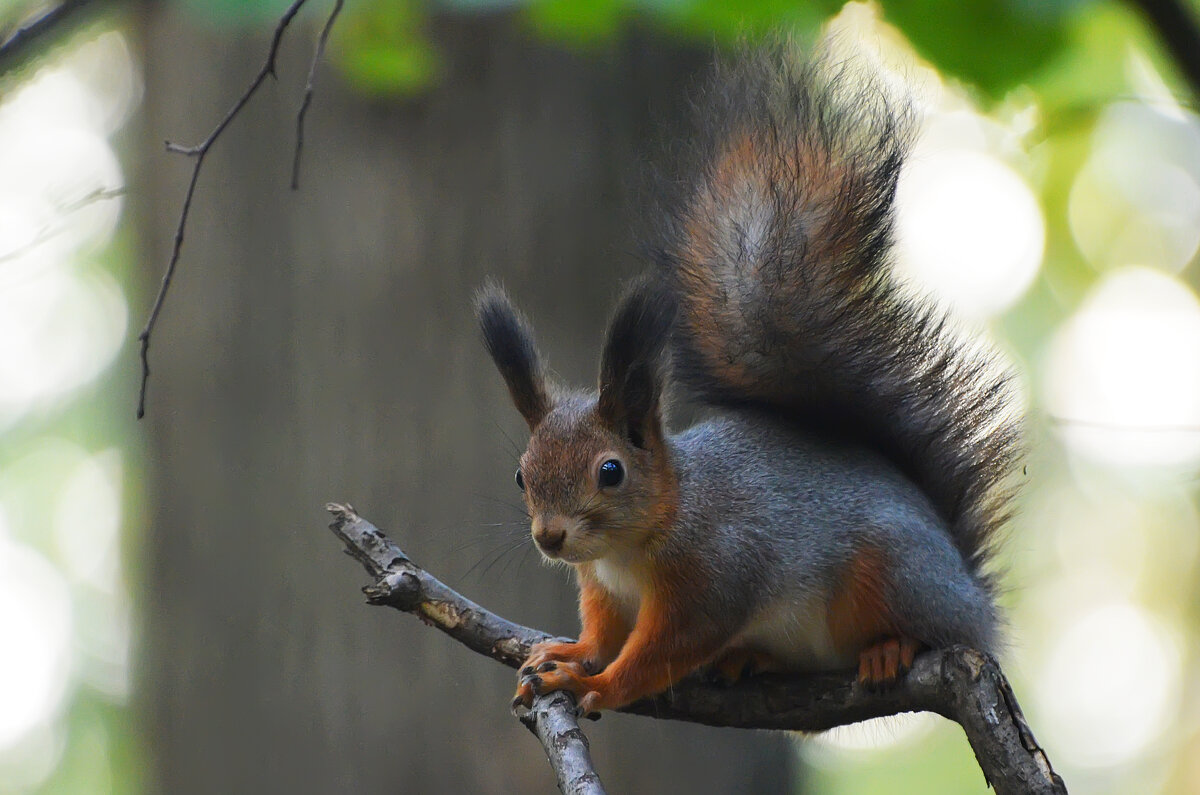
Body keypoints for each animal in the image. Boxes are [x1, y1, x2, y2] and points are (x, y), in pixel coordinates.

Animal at [477, 43, 1022, 720]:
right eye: (521, 475)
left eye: (611, 471)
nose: (550, 537)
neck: (635, 543)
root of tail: (975, 597)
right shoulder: (602, 588)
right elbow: (604, 636)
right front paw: (571, 654)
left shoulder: (716, 575)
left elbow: (662, 653)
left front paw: (592, 685)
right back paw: (751, 660)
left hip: (895, 573)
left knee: (928, 629)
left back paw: (889, 649)